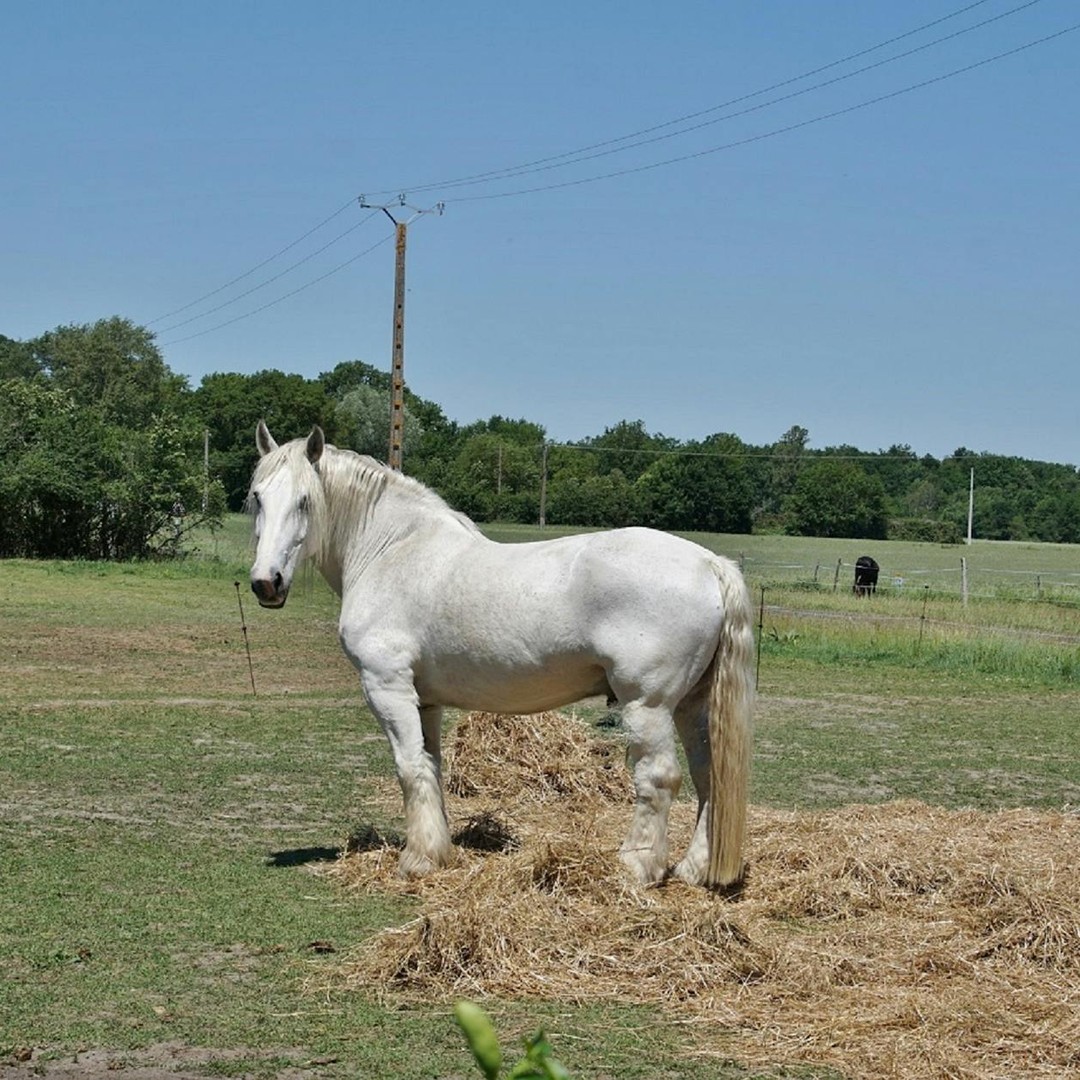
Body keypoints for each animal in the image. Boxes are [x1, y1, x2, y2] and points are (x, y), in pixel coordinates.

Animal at [248, 422, 755, 889]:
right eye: (257, 498)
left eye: (304, 501)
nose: (266, 583)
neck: (391, 551)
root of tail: (710, 563)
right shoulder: (424, 700)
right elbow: (430, 767)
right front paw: (438, 851)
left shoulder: (386, 687)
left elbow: (408, 769)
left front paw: (417, 861)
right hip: (691, 705)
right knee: (709, 777)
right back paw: (694, 870)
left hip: (647, 706)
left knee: (659, 779)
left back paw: (636, 868)